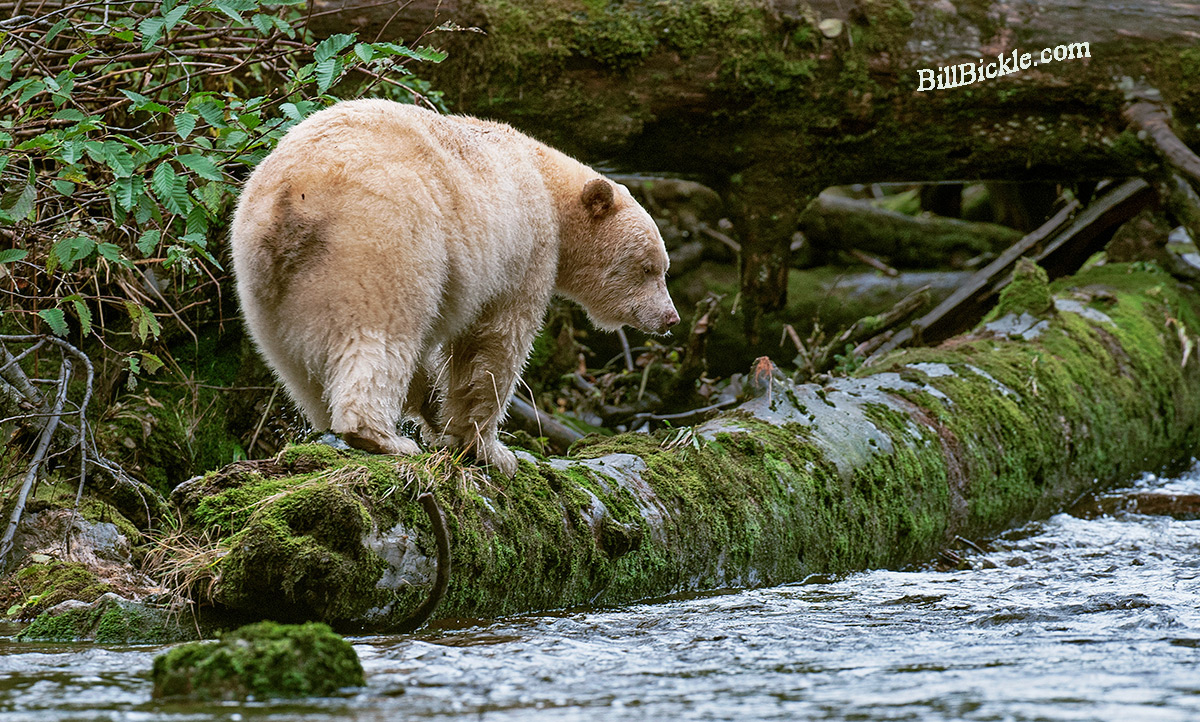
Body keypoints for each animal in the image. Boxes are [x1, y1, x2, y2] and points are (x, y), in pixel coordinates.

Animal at [230, 99, 679, 478]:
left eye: (662, 267)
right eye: (648, 268)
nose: (670, 318)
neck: (546, 182)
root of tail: (293, 197)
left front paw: (437, 416)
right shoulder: (524, 248)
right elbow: (495, 344)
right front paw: (490, 450)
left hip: (266, 282)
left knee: (295, 366)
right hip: (380, 240)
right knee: (382, 331)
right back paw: (382, 438)